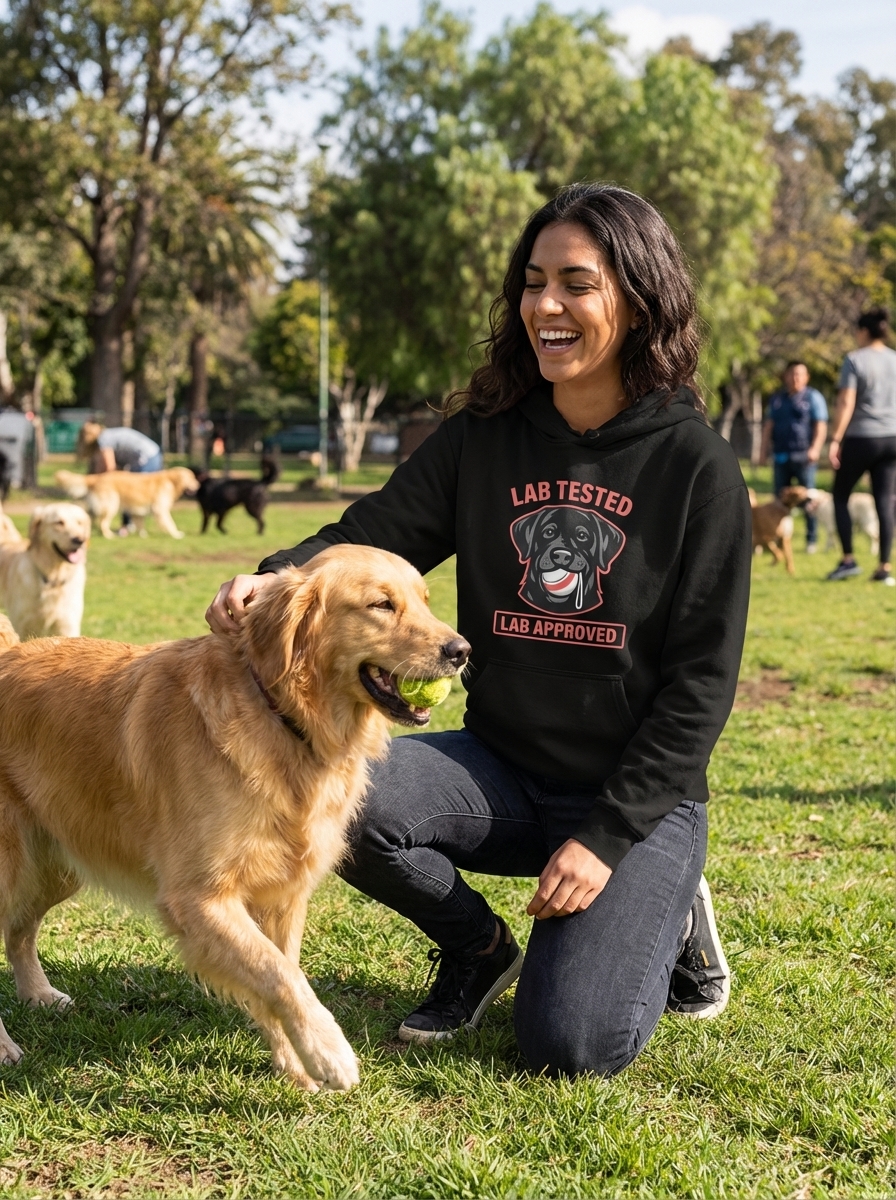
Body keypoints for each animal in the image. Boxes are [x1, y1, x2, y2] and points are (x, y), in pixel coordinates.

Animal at [0, 545, 469, 1091]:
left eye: (425, 600)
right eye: (381, 604)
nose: (461, 650)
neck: (283, 718)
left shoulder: (281, 896)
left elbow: (278, 971)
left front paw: (295, 1066)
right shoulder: (200, 898)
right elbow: (281, 975)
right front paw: (329, 1053)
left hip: (57, 865)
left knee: (19, 930)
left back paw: (38, 994)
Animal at [55, 467, 199, 539]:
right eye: (192, 478)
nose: (198, 485)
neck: (170, 481)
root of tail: (96, 477)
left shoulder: (139, 512)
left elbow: (140, 525)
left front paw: (143, 535)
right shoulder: (160, 510)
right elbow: (170, 524)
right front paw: (176, 535)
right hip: (111, 506)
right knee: (103, 523)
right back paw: (109, 536)